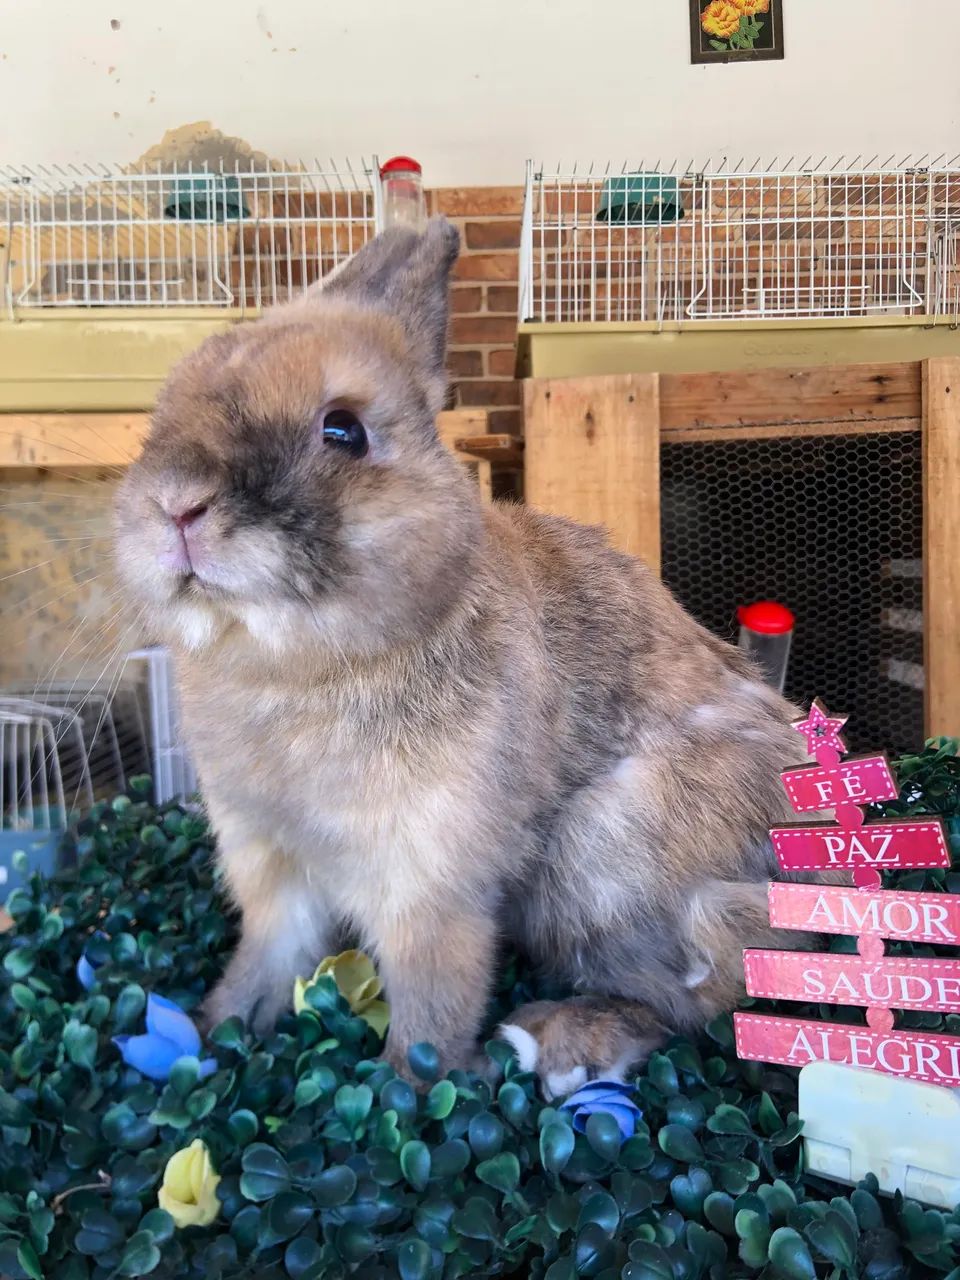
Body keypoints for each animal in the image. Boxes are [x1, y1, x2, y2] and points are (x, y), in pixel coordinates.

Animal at [113, 217, 815, 1095]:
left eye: (343, 430)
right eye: (162, 409)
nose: (176, 503)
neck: (299, 669)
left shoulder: (433, 879)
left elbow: (433, 995)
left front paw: (412, 1089)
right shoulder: (270, 863)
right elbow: (265, 959)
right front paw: (213, 1032)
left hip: (605, 867)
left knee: (693, 1004)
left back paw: (558, 1045)